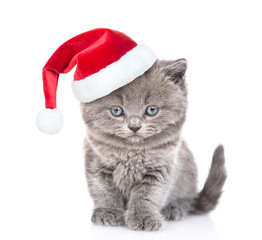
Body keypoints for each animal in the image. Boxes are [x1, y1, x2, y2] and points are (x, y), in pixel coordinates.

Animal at [81, 58, 226, 231]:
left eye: (152, 110)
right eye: (116, 111)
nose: (134, 126)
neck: (132, 152)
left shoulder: (160, 169)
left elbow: (147, 195)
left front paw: (143, 217)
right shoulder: (97, 164)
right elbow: (104, 191)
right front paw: (108, 212)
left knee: (187, 200)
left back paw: (174, 208)